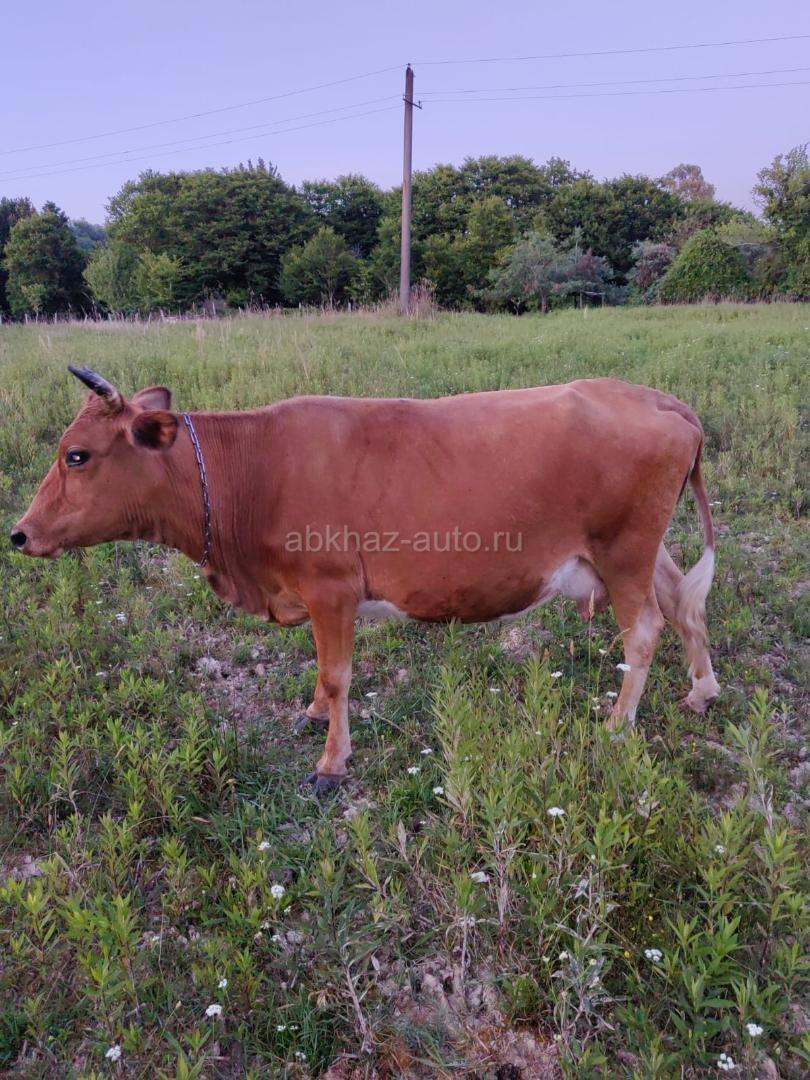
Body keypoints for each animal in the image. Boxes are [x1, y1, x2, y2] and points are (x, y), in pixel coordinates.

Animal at [12, 367, 720, 793]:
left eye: (77, 454)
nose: (18, 534)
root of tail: (659, 399)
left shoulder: (331, 588)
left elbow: (336, 672)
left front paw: (331, 762)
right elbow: (320, 668)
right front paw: (311, 715)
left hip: (623, 549)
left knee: (646, 629)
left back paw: (618, 725)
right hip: (636, 550)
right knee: (684, 603)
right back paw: (701, 691)